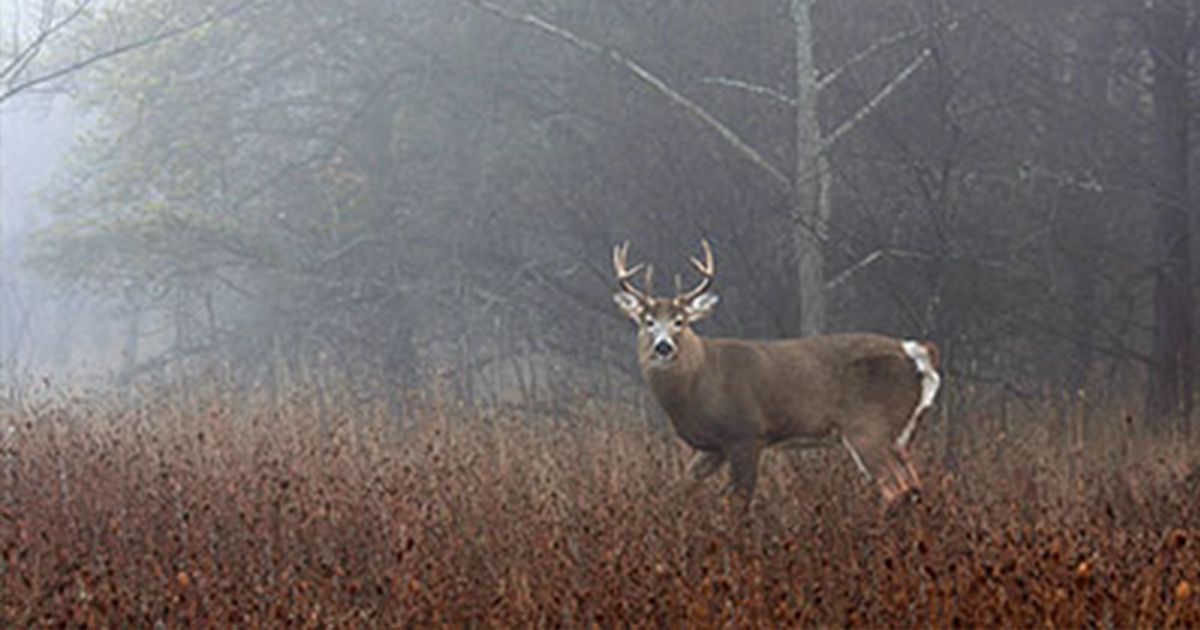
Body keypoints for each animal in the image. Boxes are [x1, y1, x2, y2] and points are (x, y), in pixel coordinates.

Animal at [614, 238, 940, 508]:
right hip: (898, 435)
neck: (698, 381)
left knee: (896, 490)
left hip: (869, 426)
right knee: (914, 487)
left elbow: (739, 501)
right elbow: (682, 486)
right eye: (647, 321)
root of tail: (915, 353)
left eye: (680, 321)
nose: (663, 346)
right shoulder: (713, 447)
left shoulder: (746, 433)